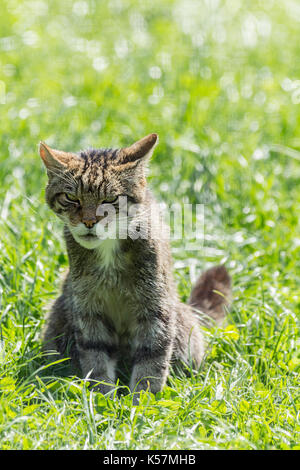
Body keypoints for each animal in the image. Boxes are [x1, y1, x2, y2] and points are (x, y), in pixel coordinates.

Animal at [39, 134, 230, 402]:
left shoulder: (156, 305)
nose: (89, 221)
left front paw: (142, 401)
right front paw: (102, 398)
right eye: (71, 198)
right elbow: (95, 356)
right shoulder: (87, 306)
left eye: (110, 200)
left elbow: (152, 357)